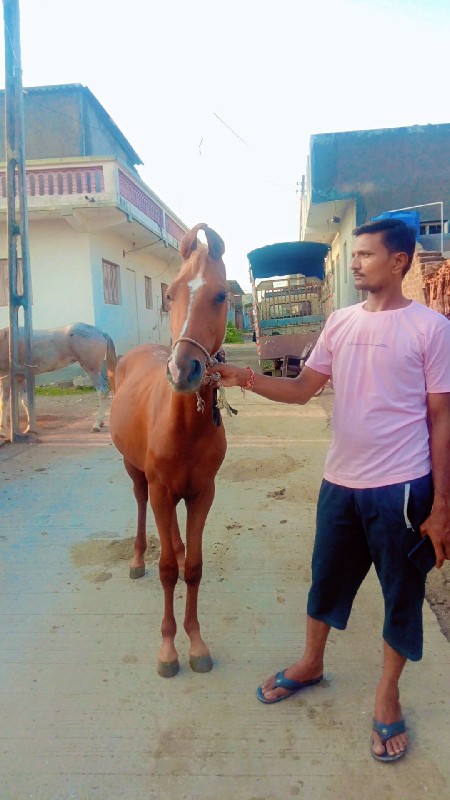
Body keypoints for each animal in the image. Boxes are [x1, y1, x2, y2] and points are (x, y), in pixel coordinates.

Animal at [109, 222, 229, 680]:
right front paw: (167, 650)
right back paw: (137, 560)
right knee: (142, 505)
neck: (183, 425)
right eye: (170, 295)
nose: (182, 370)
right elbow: (166, 573)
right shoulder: (162, 488)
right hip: (136, 472)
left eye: (222, 294)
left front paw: (195, 644)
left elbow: (191, 568)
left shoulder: (203, 492)